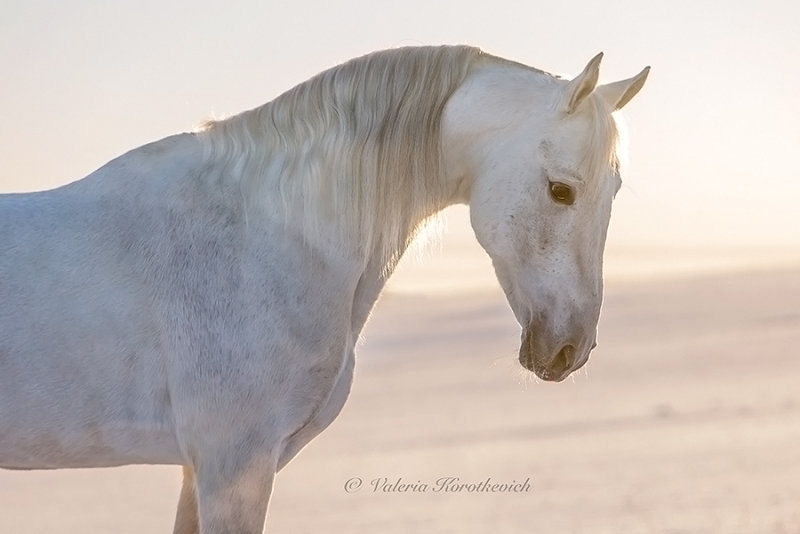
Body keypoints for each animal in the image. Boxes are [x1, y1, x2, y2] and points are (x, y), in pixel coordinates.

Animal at [0, 47, 648, 534]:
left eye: (614, 190)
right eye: (561, 190)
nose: (570, 347)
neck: (262, 236)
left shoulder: (201, 469)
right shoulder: (233, 467)